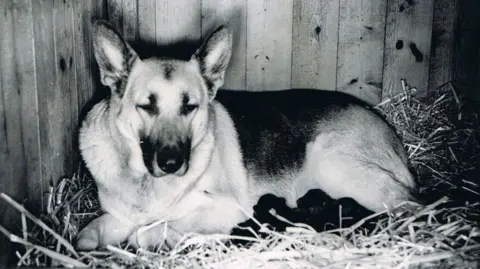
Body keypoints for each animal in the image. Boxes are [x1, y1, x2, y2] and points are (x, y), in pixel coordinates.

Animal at [77, 19, 418, 249]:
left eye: (190, 107)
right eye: (147, 106)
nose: (172, 164)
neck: (143, 181)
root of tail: (383, 123)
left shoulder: (228, 209)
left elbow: (146, 231)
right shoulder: (116, 218)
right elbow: (87, 234)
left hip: (335, 166)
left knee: (411, 205)